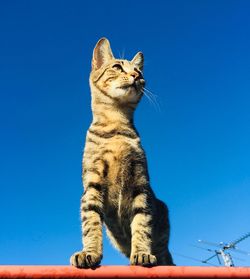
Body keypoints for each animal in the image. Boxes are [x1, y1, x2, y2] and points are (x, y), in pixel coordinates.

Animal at [70, 38, 174, 268]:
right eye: (117, 67)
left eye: (140, 72)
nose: (136, 76)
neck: (115, 125)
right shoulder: (92, 182)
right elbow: (90, 223)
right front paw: (89, 252)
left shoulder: (140, 182)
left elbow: (142, 224)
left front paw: (142, 253)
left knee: (166, 257)